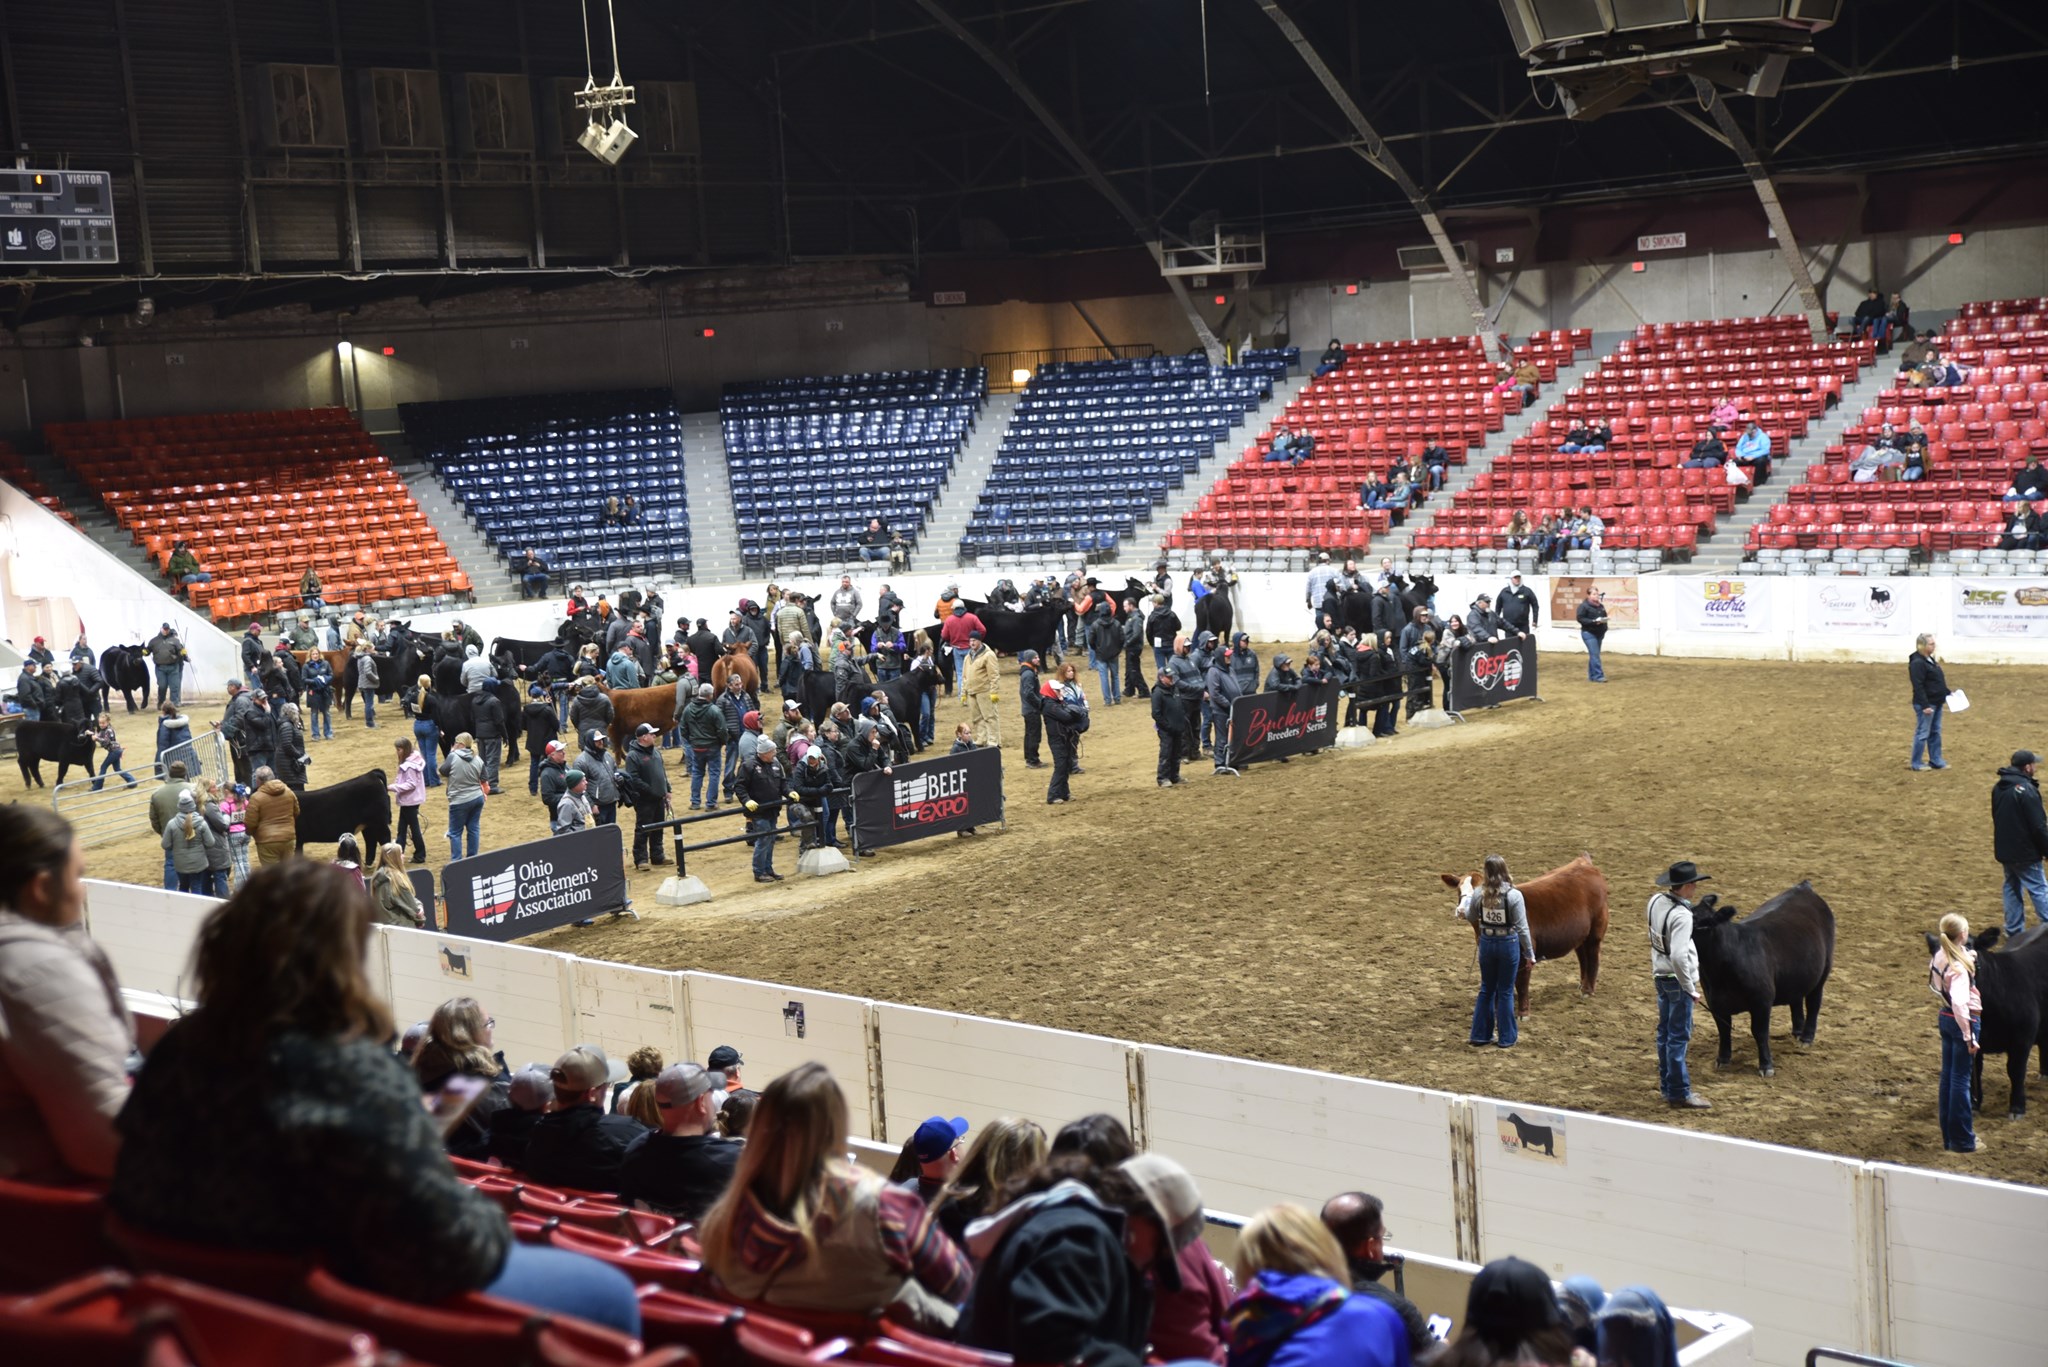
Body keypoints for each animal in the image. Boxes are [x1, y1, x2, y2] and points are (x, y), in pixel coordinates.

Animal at [1449, 856, 1605, 1016]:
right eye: (1459, 889)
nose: (1461, 911)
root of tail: (1584, 862)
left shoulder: (1525, 954)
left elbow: (1521, 982)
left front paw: (1523, 1012)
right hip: (1581, 934)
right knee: (1582, 956)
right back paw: (1582, 984)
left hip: (1596, 929)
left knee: (1593, 955)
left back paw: (1588, 990)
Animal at [1695, 889, 1843, 1082]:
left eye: (1701, 924)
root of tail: (1804, 888)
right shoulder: (1715, 1002)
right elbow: (1723, 1030)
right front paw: (1723, 1059)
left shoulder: (1762, 1001)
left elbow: (1759, 1032)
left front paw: (1766, 1066)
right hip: (1795, 976)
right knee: (1796, 1000)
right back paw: (1797, 1031)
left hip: (1821, 974)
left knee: (1813, 1004)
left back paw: (1806, 1038)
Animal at [1925, 926, 2048, 1114]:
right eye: (1934, 950)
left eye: (1968, 945)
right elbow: (1974, 1071)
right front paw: (1975, 1104)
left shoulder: (2023, 1038)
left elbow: (2016, 1070)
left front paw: (2017, 1107)